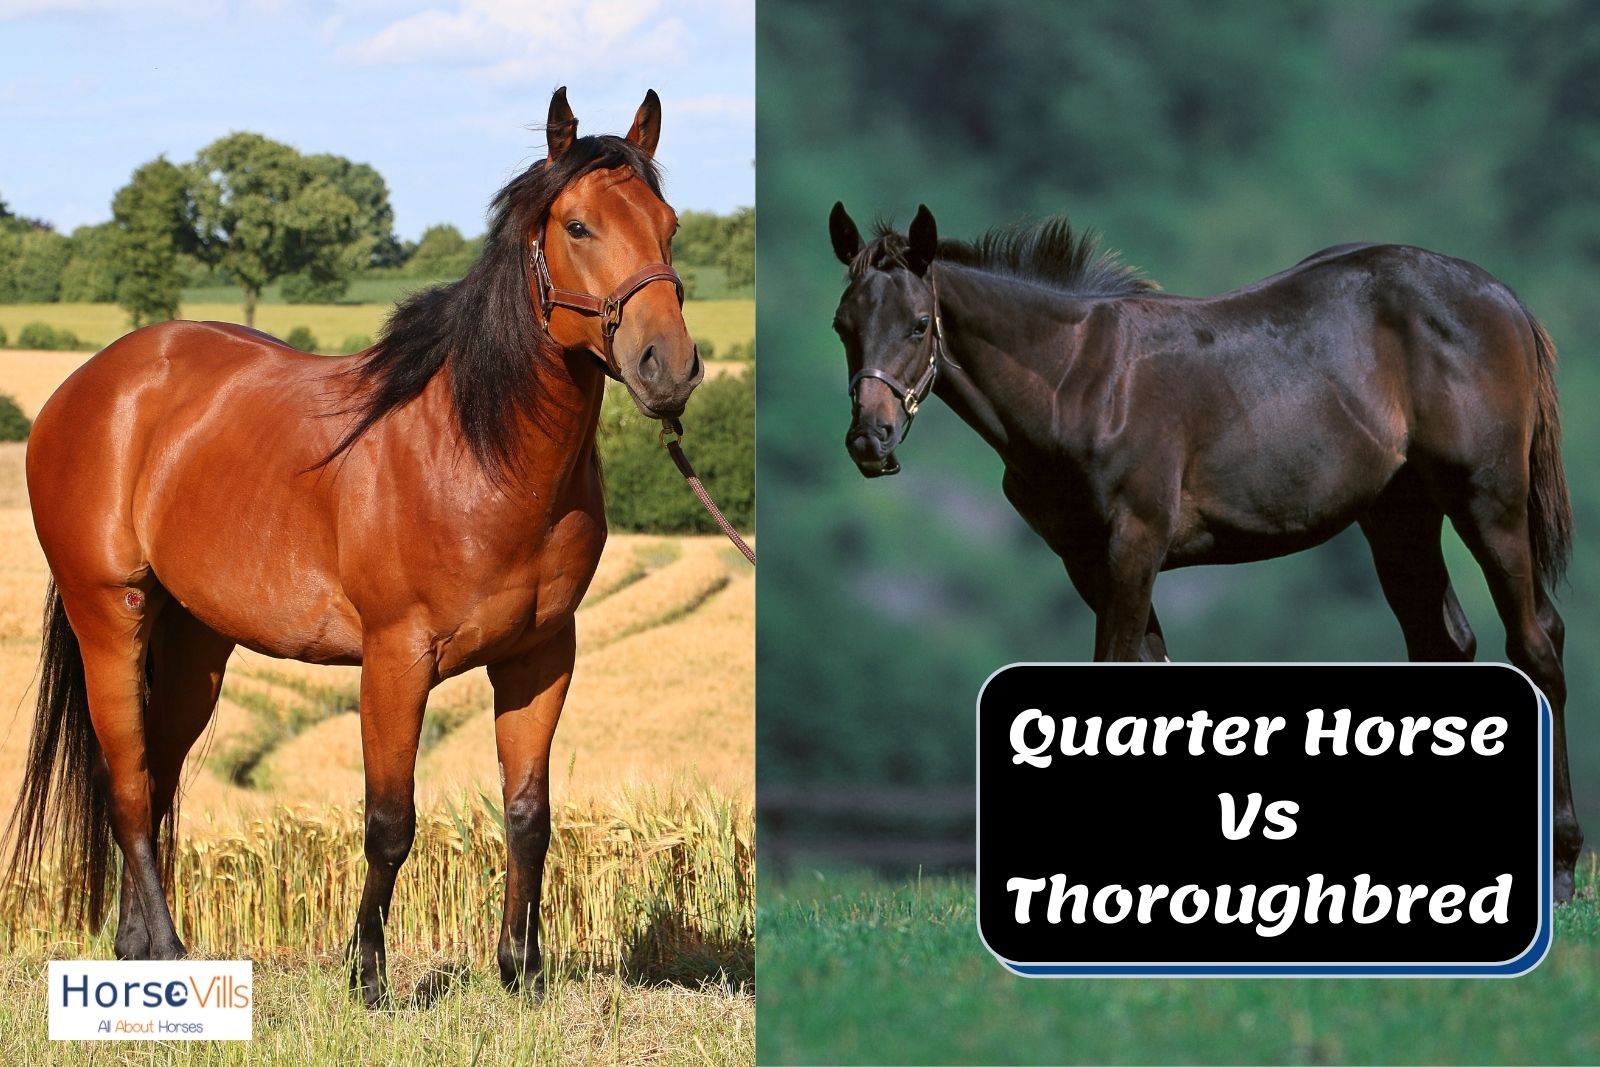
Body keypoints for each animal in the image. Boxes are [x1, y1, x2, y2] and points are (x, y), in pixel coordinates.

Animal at [3, 86, 704, 1006]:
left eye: (669, 224)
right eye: (579, 226)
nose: (669, 367)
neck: (478, 453)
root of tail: (88, 386)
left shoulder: (543, 655)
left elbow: (528, 815)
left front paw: (521, 971)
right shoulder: (396, 658)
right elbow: (389, 821)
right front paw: (366, 974)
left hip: (193, 644)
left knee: (152, 781)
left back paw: (133, 949)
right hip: (109, 615)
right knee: (125, 784)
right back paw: (167, 954)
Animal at [827, 202, 1580, 901]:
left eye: (918, 324)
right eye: (843, 325)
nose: (870, 440)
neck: (1078, 380)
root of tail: (1502, 298)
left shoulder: (1135, 543)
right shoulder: (1087, 562)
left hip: (1488, 502)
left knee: (1536, 643)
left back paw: (1566, 862)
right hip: (1400, 516)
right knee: (1445, 643)